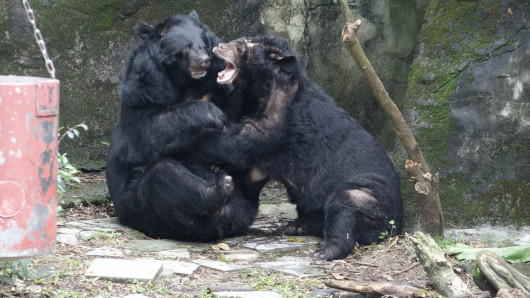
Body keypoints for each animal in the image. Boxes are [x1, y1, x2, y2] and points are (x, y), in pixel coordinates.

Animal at [105, 12, 264, 242]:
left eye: (205, 45)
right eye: (185, 48)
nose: (205, 61)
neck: (186, 82)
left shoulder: (217, 90)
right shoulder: (144, 92)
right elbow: (149, 132)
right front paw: (213, 114)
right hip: (140, 203)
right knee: (163, 176)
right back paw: (219, 188)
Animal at [195, 34, 404, 258]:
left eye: (244, 47)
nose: (219, 46)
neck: (265, 85)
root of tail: (397, 226)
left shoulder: (279, 115)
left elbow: (243, 140)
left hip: (371, 197)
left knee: (344, 207)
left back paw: (325, 251)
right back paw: (297, 226)